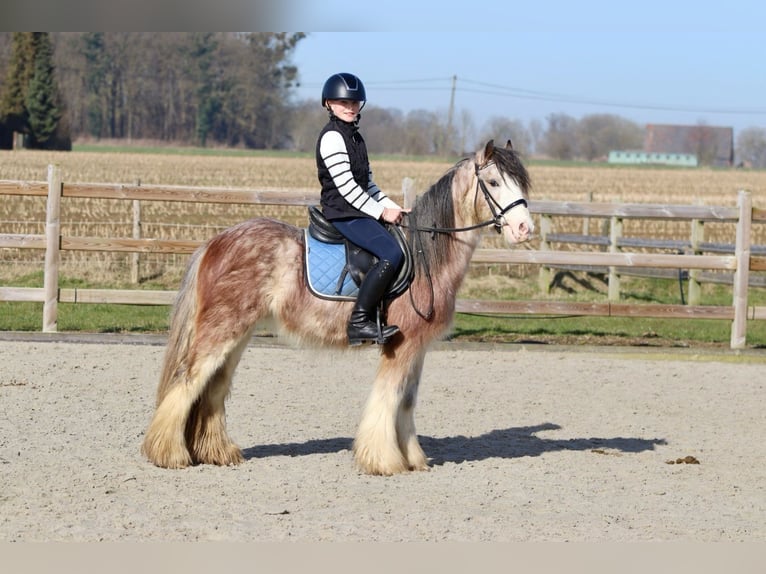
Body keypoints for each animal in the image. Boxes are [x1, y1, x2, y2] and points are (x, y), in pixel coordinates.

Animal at [142, 140, 536, 476]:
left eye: (520, 183)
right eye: (493, 182)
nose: (524, 228)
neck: (426, 254)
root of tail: (215, 242)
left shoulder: (418, 348)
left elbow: (407, 401)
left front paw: (413, 459)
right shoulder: (400, 346)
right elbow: (388, 399)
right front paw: (383, 460)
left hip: (237, 335)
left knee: (214, 387)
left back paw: (218, 452)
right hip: (221, 331)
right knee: (187, 381)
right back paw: (168, 454)